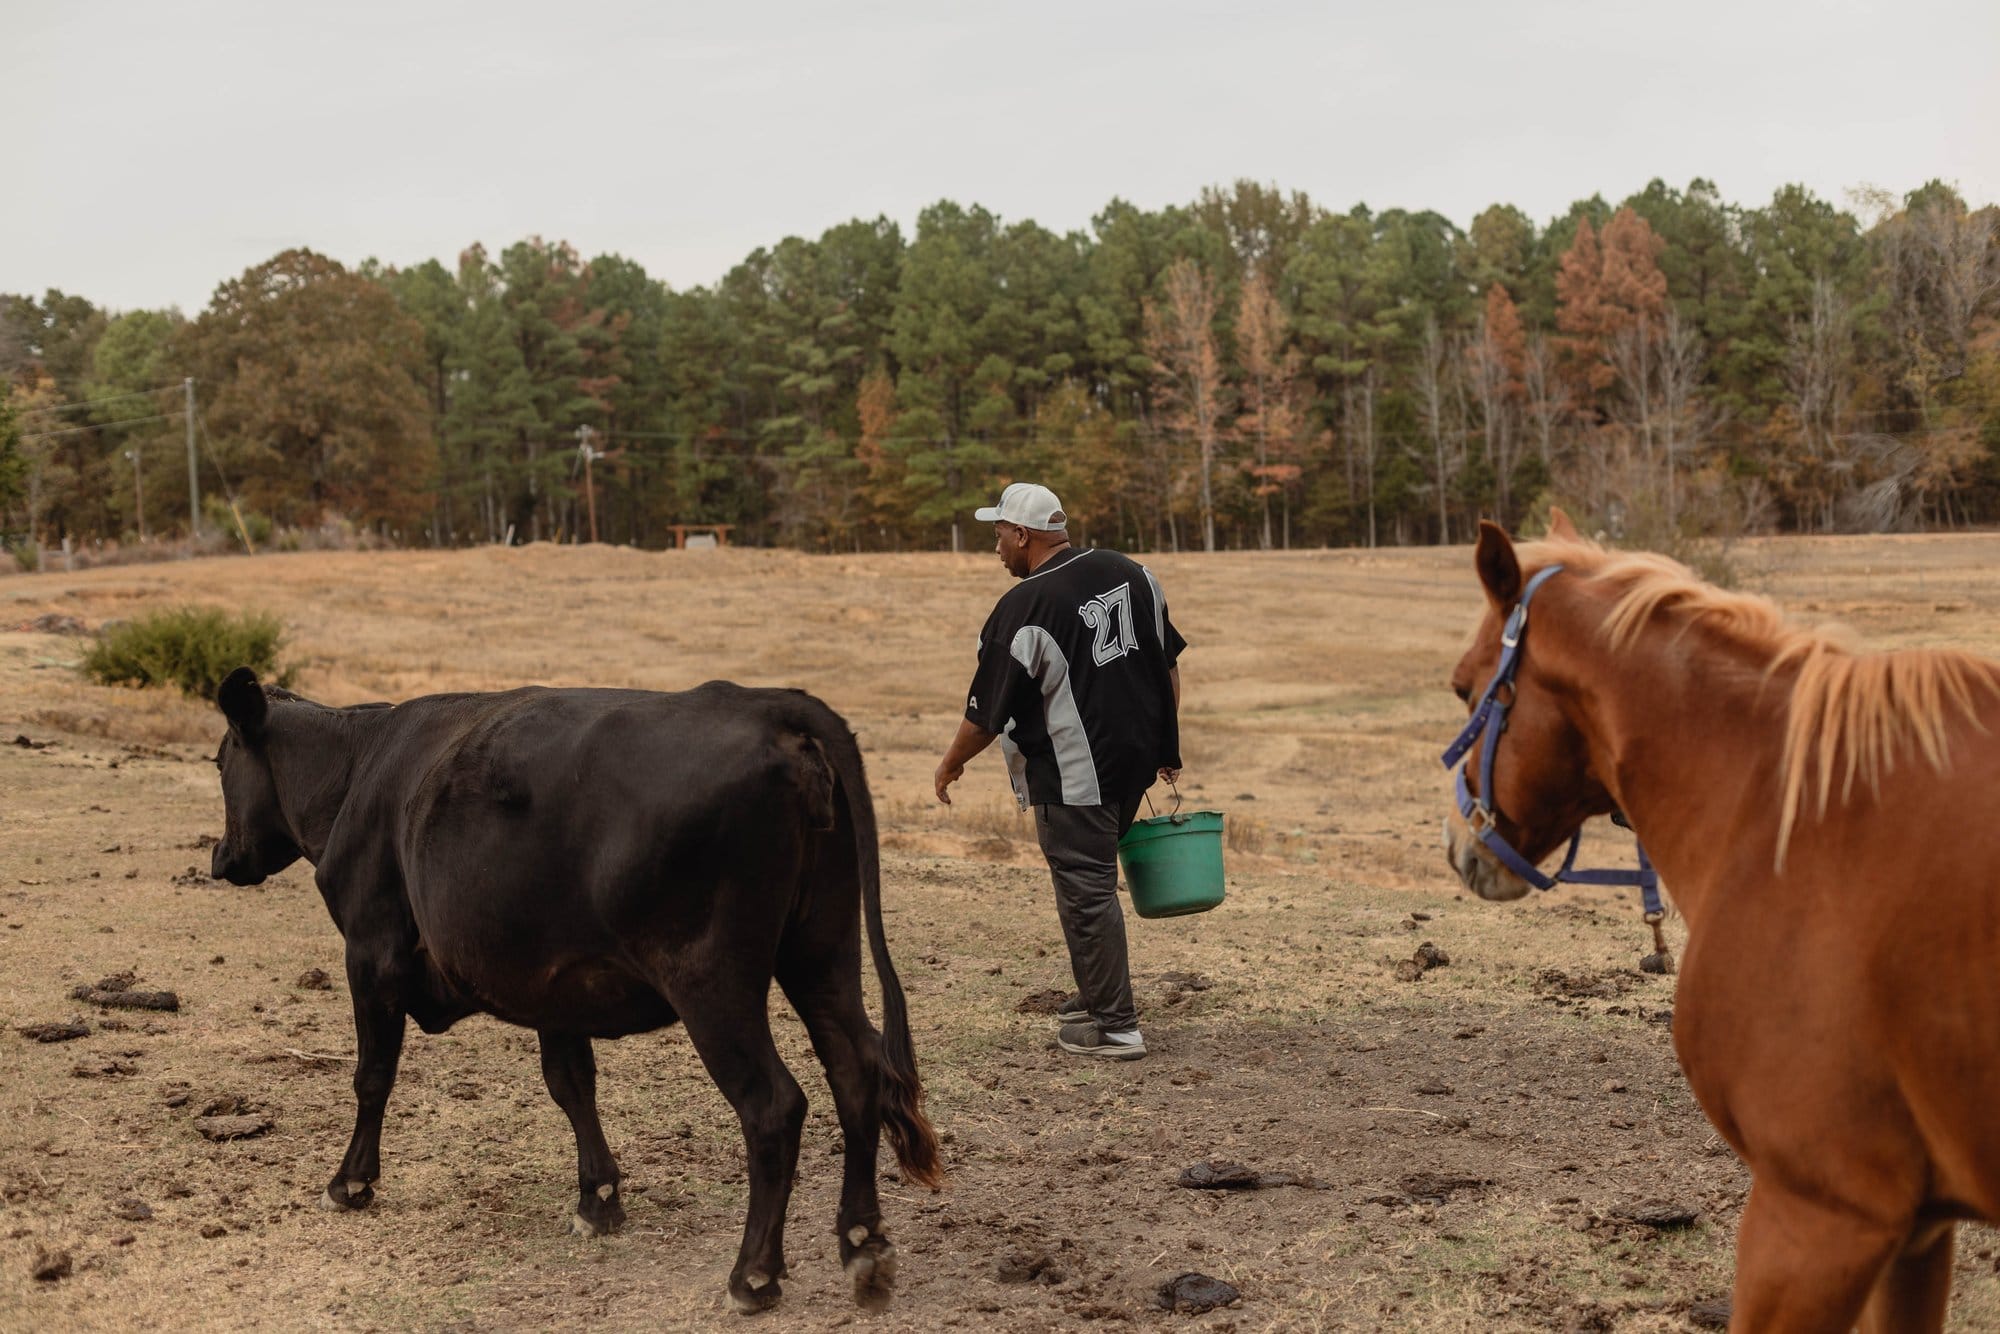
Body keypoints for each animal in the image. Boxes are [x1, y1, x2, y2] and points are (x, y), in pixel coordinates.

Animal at [208, 668, 944, 1314]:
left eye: (219, 762)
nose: (220, 857)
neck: (356, 770)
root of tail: (770, 705)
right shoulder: (551, 981)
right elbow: (571, 1083)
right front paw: (600, 1199)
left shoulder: (371, 950)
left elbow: (372, 1076)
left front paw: (351, 1182)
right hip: (823, 951)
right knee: (857, 1070)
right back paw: (863, 1244)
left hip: (713, 982)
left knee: (773, 1105)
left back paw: (753, 1276)